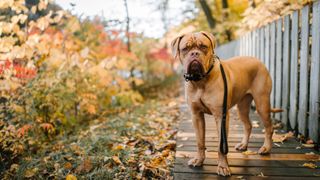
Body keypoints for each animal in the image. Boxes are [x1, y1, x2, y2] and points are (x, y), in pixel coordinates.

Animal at [172, 31, 276, 176]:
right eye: (185, 49)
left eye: (203, 46)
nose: (194, 54)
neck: (200, 81)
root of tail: (259, 61)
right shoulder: (196, 116)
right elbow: (199, 142)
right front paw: (199, 160)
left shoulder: (220, 116)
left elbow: (221, 146)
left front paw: (222, 167)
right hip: (242, 106)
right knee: (248, 125)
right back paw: (243, 145)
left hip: (262, 104)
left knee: (269, 128)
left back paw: (266, 148)